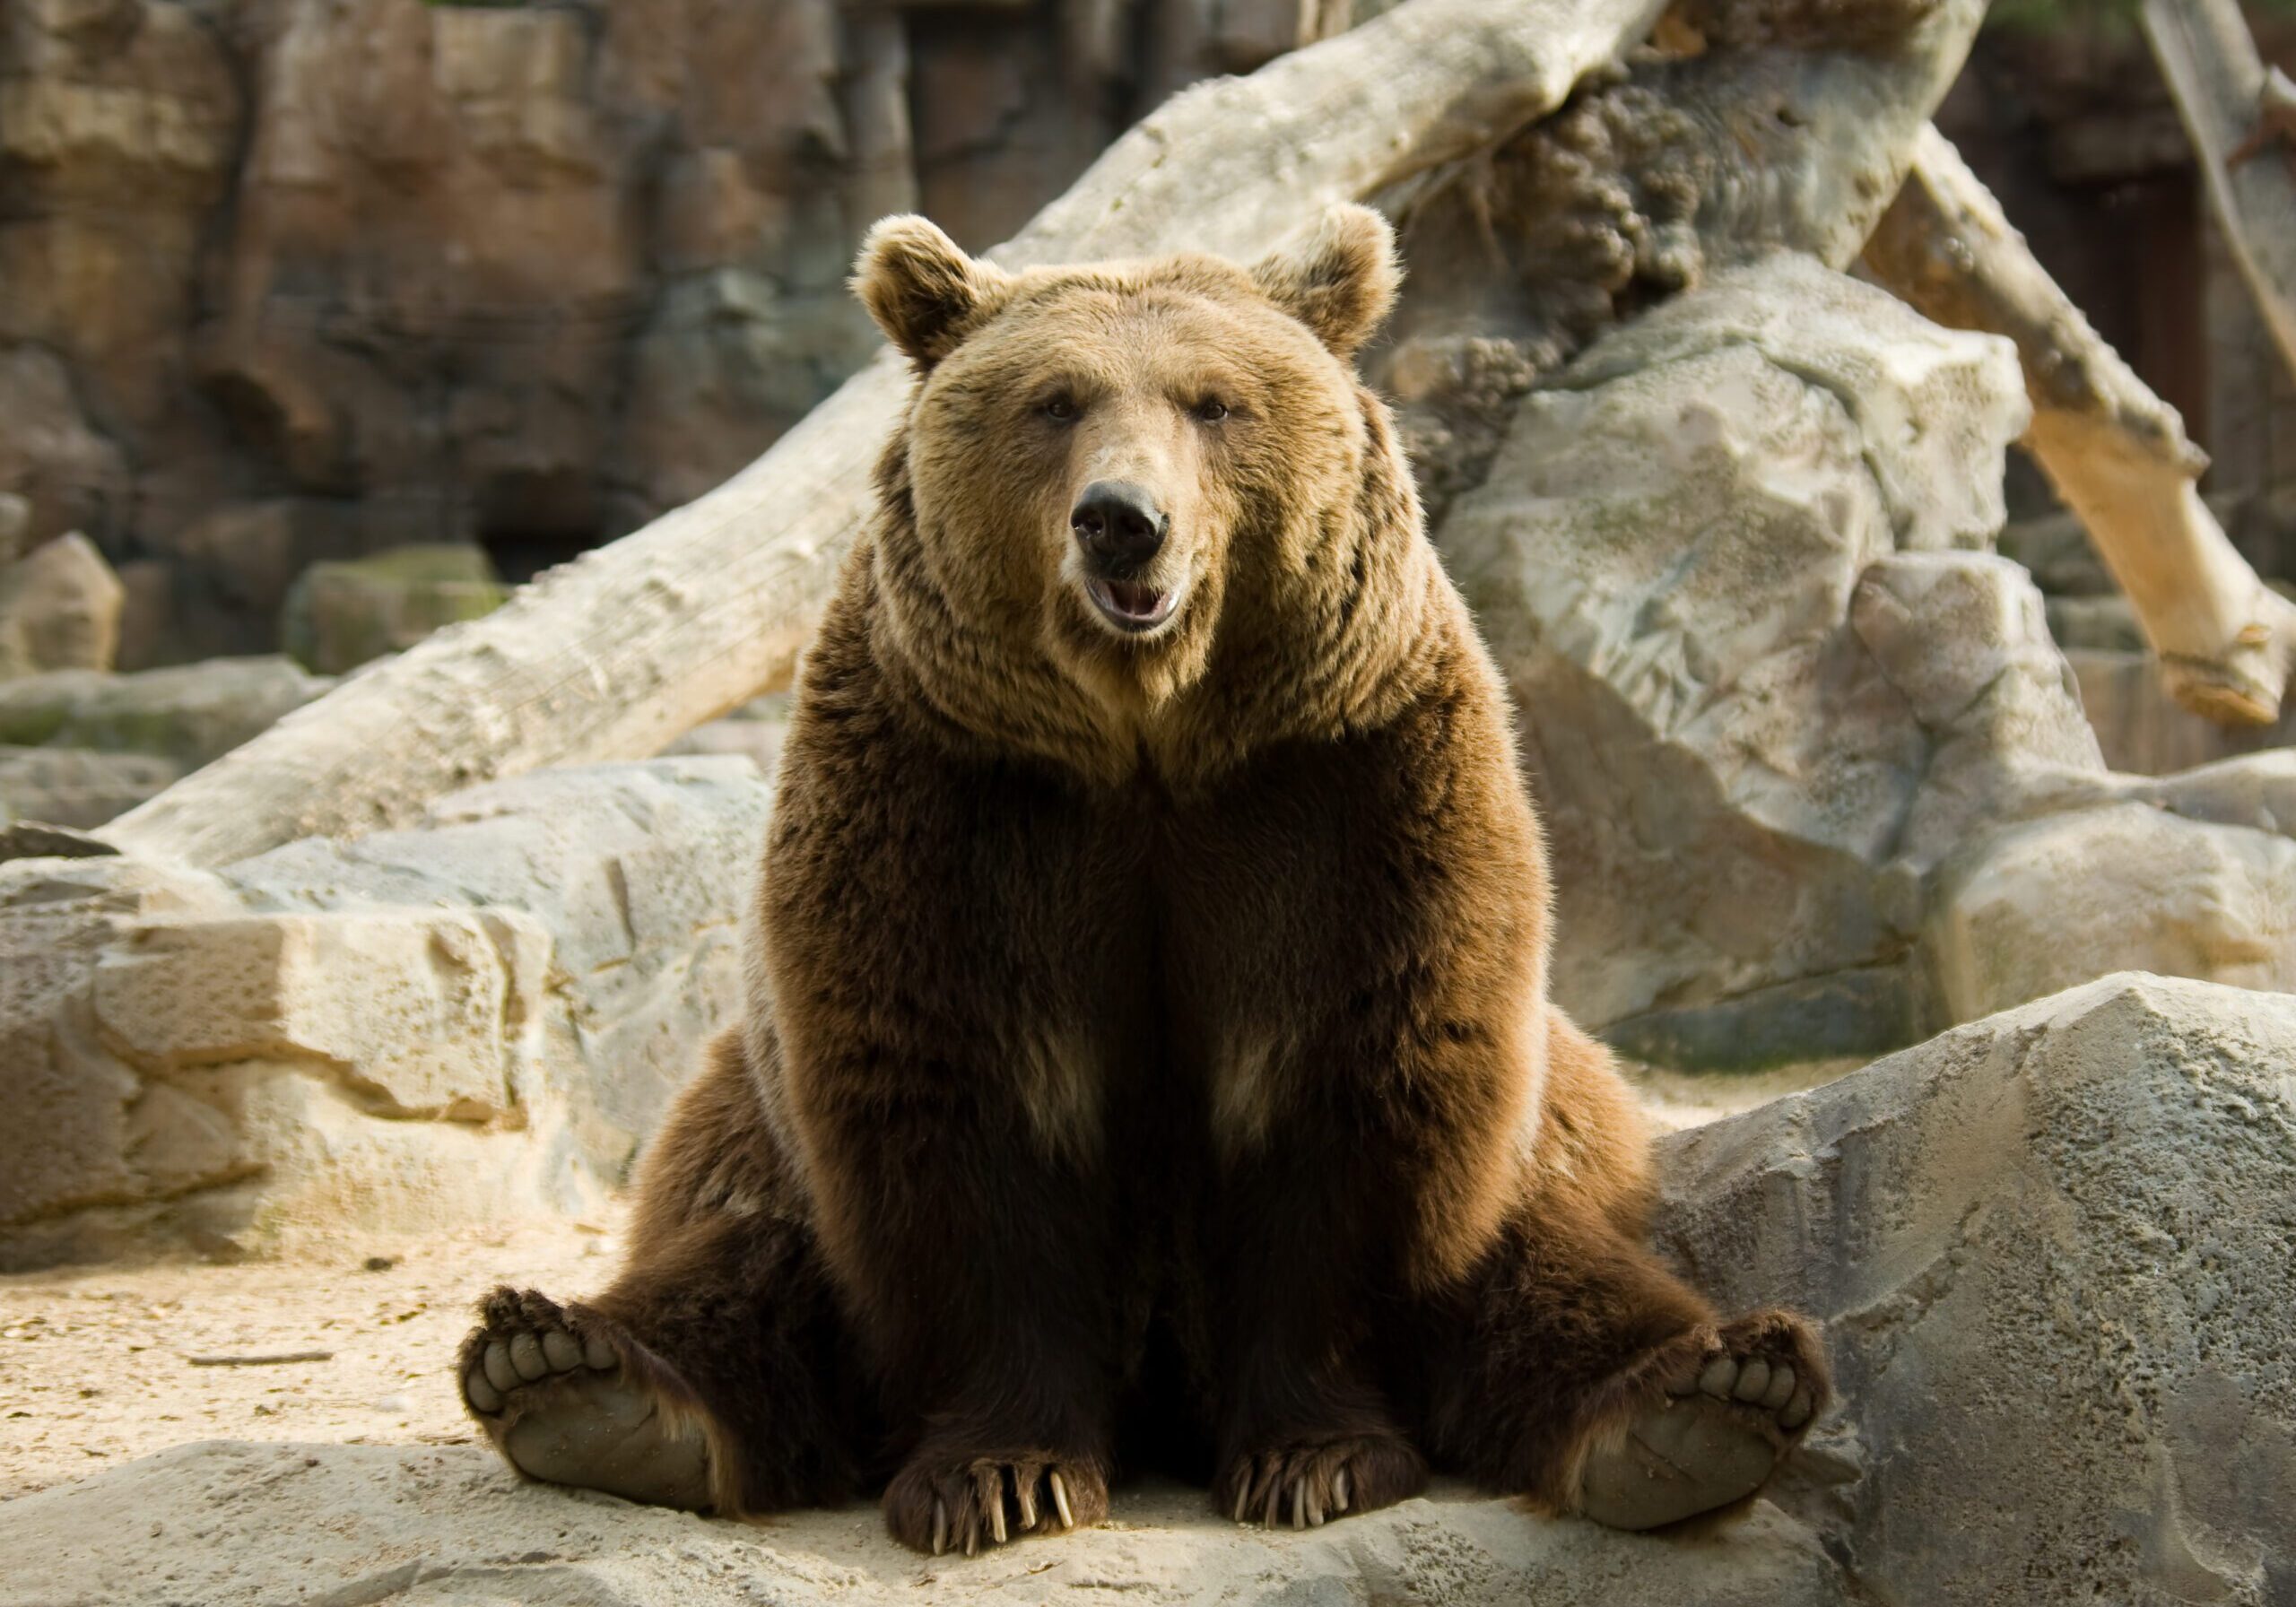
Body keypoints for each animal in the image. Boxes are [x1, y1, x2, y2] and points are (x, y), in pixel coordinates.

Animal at [454, 204, 1830, 1552]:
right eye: (1055, 400)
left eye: (1214, 402)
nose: (1123, 517)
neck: (1149, 736)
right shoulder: (953, 800)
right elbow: (964, 1117)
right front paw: (1003, 1474)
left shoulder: (1345, 788)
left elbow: (1350, 1093)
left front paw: (1316, 1457)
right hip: (746, 1117)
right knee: (742, 1258)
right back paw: (574, 1375)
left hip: (1564, 1128)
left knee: (1554, 1266)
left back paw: (1708, 1396)